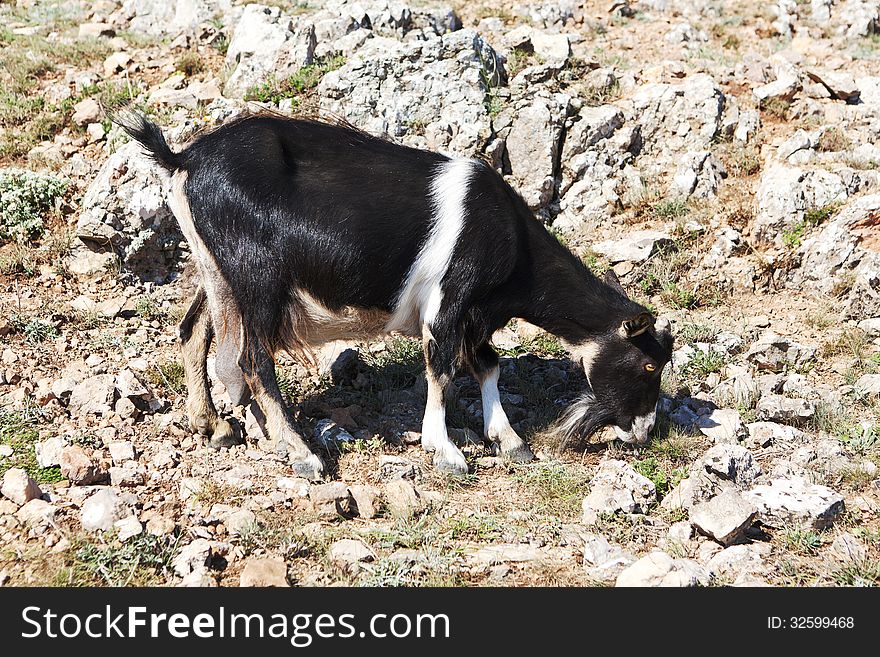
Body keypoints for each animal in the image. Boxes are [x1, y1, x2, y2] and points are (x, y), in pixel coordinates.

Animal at [118, 113, 672, 476]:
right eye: (649, 364)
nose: (645, 432)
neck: (508, 238)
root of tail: (181, 158)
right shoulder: (450, 302)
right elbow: (442, 371)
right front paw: (445, 451)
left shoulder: (475, 314)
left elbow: (489, 365)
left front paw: (510, 440)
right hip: (258, 278)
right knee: (253, 361)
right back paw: (303, 454)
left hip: (219, 272)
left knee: (194, 330)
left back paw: (209, 423)